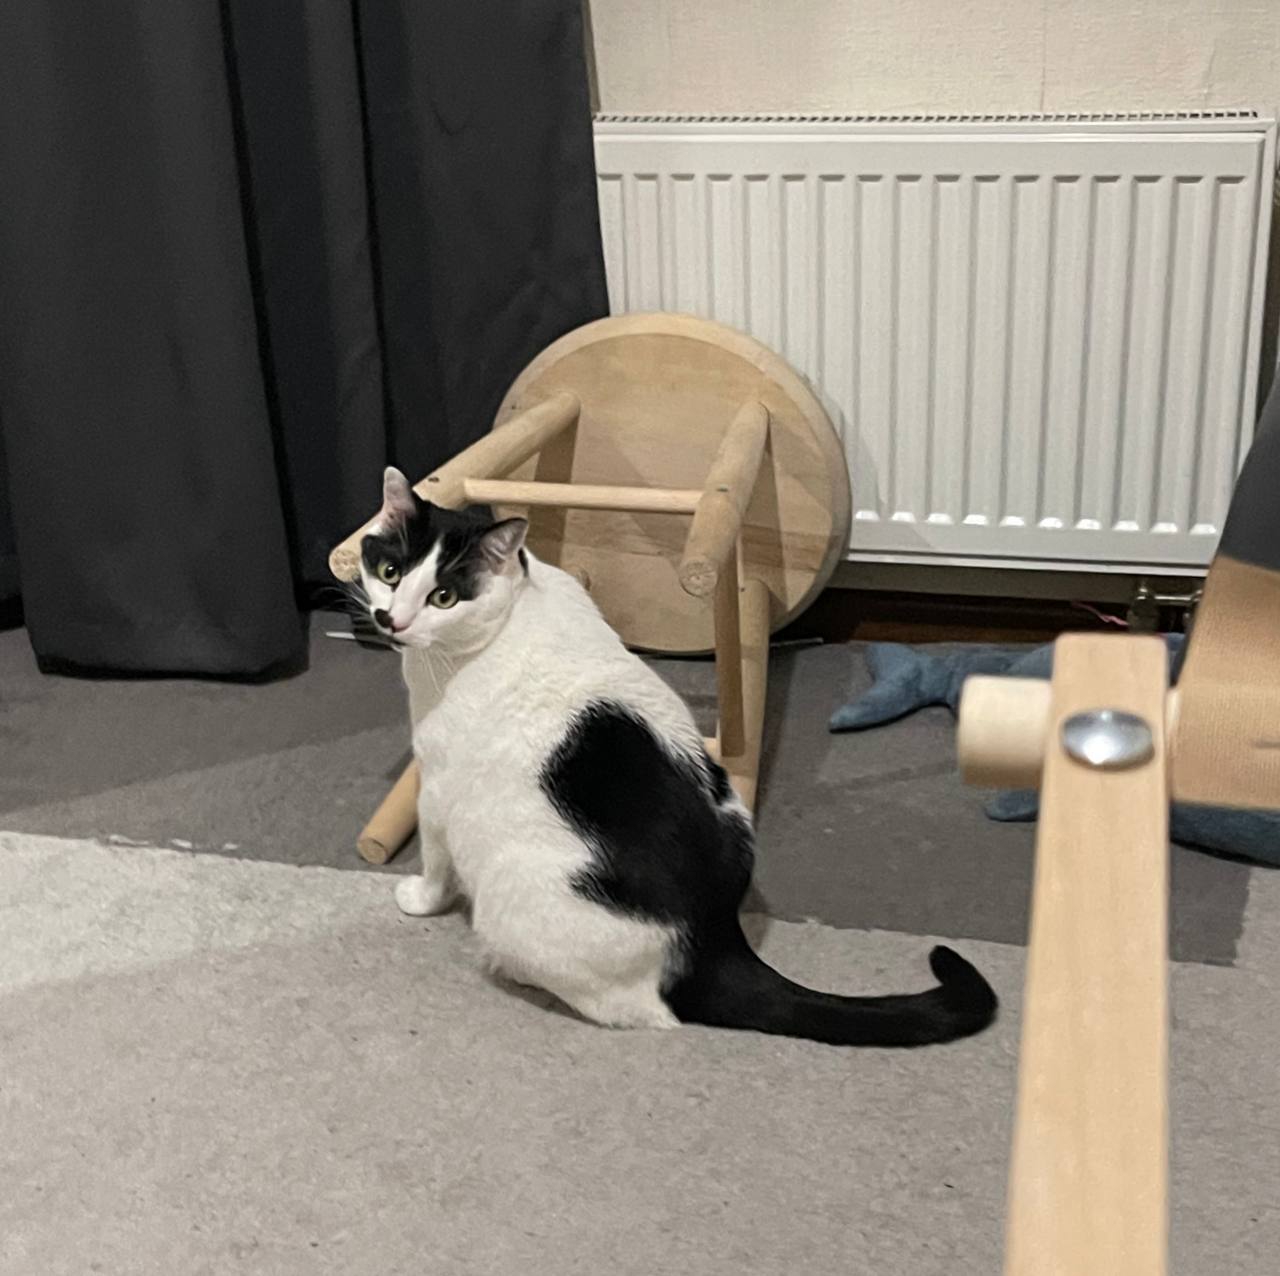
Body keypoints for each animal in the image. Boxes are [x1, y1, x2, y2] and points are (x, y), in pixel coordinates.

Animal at [352, 466, 997, 1046]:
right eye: (389, 571)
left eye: (444, 596)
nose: (391, 619)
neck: (512, 609)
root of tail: (714, 939)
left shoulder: (439, 786)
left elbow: (434, 861)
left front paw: (418, 899)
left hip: (517, 897)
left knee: (637, 1012)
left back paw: (504, 964)